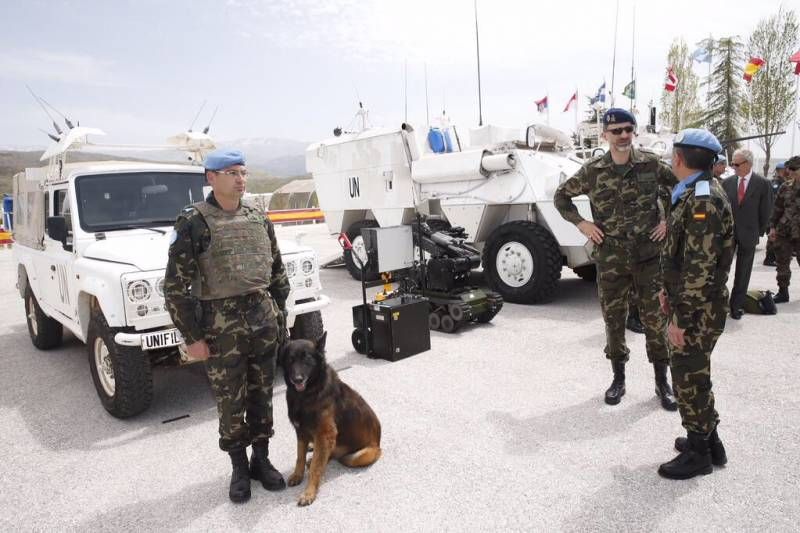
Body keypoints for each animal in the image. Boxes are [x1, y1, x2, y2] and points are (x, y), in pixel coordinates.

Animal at [282, 330, 382, 504]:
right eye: (290, 360)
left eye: (307, 359)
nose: (297, 379)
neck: (307, 394)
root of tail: (378, 441)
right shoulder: (301, 432)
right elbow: (299, 457)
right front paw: (297, 475)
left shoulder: (325, 434)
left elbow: (316, 467)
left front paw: (309, 493)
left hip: (356, 456)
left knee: (332, 455)